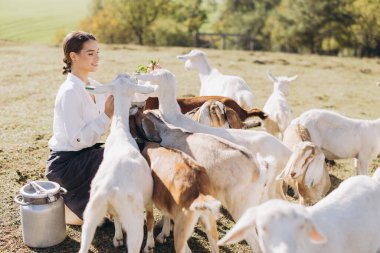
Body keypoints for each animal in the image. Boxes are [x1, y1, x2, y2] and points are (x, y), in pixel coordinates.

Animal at [78, 74, 156, 253]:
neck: (120, 131)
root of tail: (107, 190)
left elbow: (117, 219)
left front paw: (118, 237)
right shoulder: (148, 198)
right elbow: (150, 218)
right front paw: (150, 245)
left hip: (91, 215)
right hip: (134, 221)